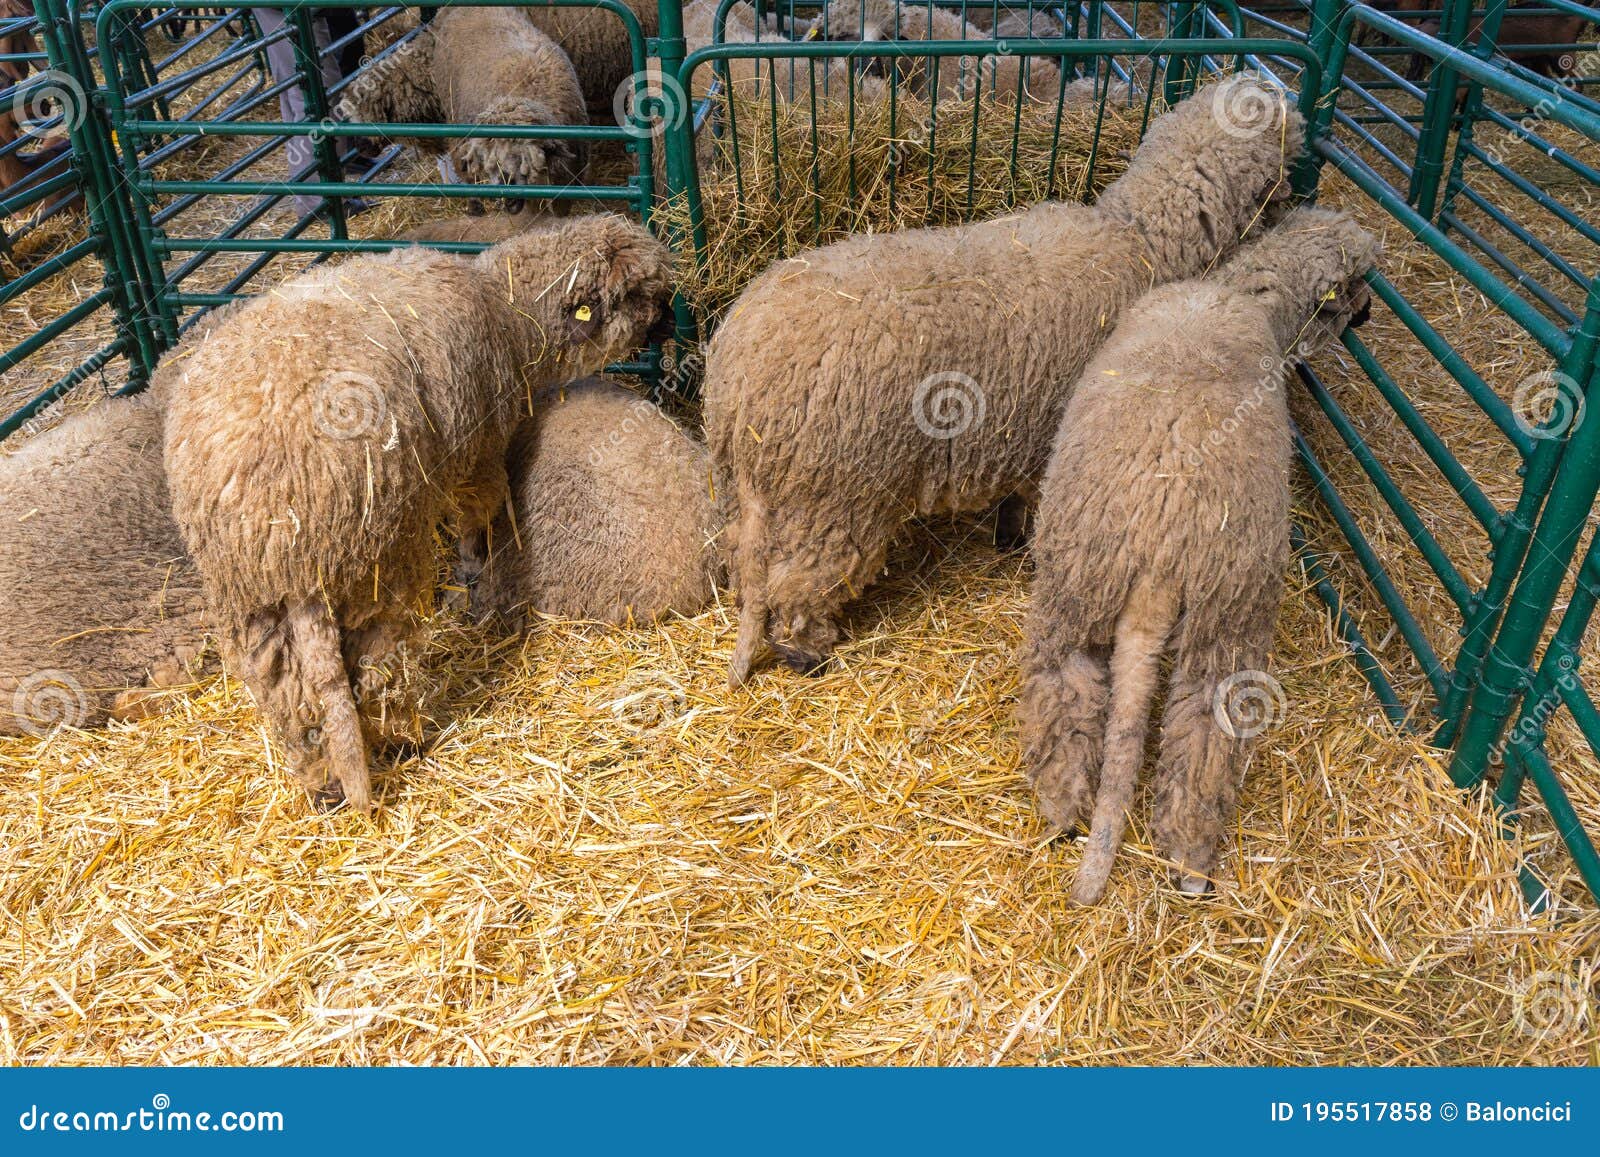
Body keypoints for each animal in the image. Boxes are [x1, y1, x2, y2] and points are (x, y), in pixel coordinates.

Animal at [162, 214, 675, 811]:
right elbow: (479, 510)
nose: (670, 322)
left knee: (288, 693)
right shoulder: (479, 447)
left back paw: (324, 785)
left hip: (250, 596)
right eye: (638, 295)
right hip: (375, 559)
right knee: (377, 662)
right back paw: (401, 740)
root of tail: (286, 521)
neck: (509, 311)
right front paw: (474, 565)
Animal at [705, 78, 1303, 685]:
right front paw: (1018, 539)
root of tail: (740, 377)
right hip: (832, 497)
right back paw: (809, 653)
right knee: (800, 583)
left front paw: (1008, 535)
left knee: (743, 558)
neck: (1139, 238)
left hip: (757, 493)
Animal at [1018, 207, 1379, 903]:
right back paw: (1190, 860)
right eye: (1355, 285)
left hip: (1076, 578)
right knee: (1206, 730)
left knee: (1064, 688)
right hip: (1226, 613)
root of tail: (1158, 556)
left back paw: (1062, 811)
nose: (1370, 314)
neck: (1245, 294)